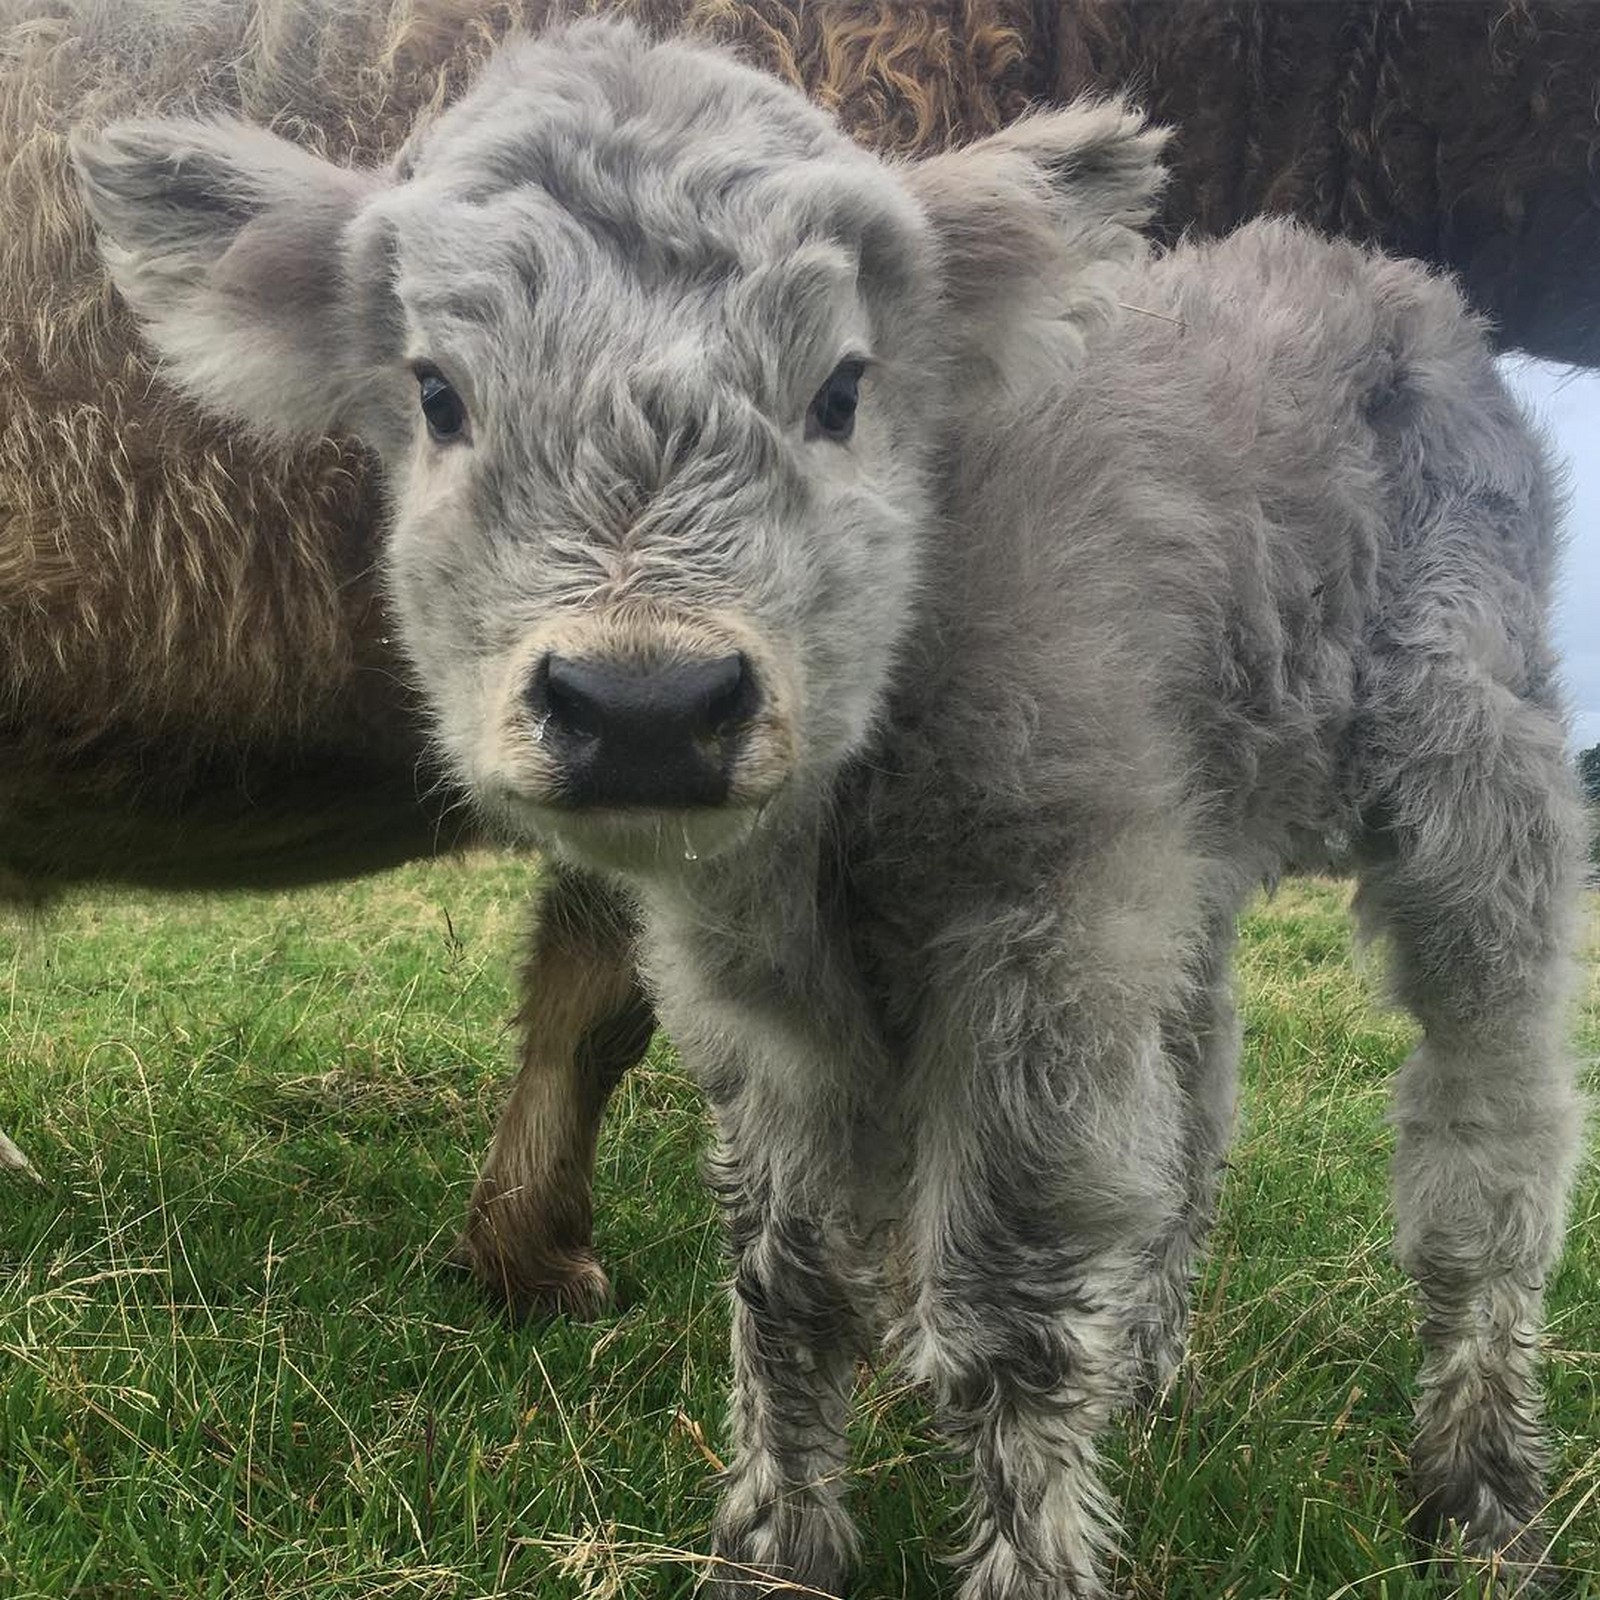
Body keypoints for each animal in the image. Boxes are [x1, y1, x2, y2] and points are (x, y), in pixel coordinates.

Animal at [81, 18, 1593, 1593]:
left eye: (842, 389)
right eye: (438, 394)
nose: (645, 705)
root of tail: (1378, 274)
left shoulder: (1045, 933)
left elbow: (1009, 1304)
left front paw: (1029, 1562)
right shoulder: (773, 990)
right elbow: (789, 1278)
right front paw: (775, 1545)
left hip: (1472, 760)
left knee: (1490, 1122)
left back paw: (1482, 1491)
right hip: (1192, 830)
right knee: (1203, 1073)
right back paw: (1156, 1371)